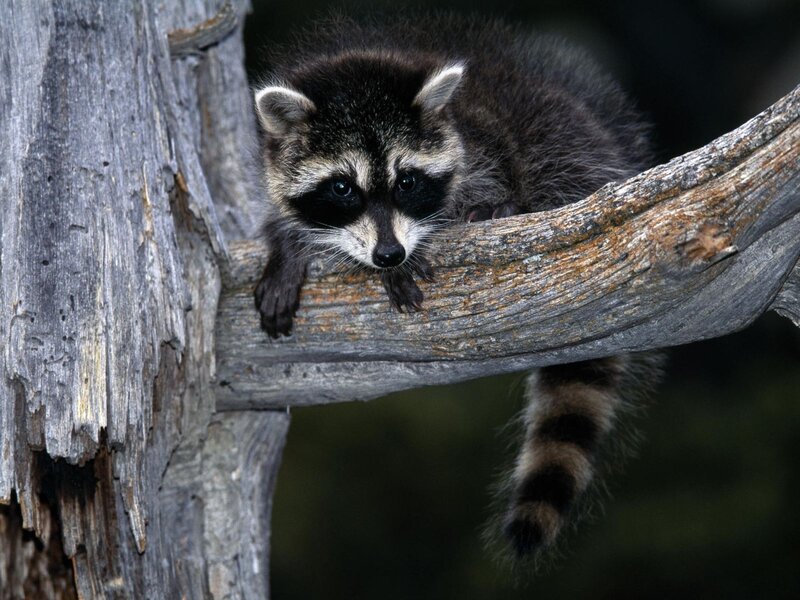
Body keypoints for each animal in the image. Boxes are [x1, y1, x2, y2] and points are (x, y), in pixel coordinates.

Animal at [253, 15, 660, 559]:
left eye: (406, 181)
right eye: (342, 187)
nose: (389, 255)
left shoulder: (484, 144)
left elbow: (492, 186)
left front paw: (425, 243)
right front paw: (288, 244)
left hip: (562, 142)